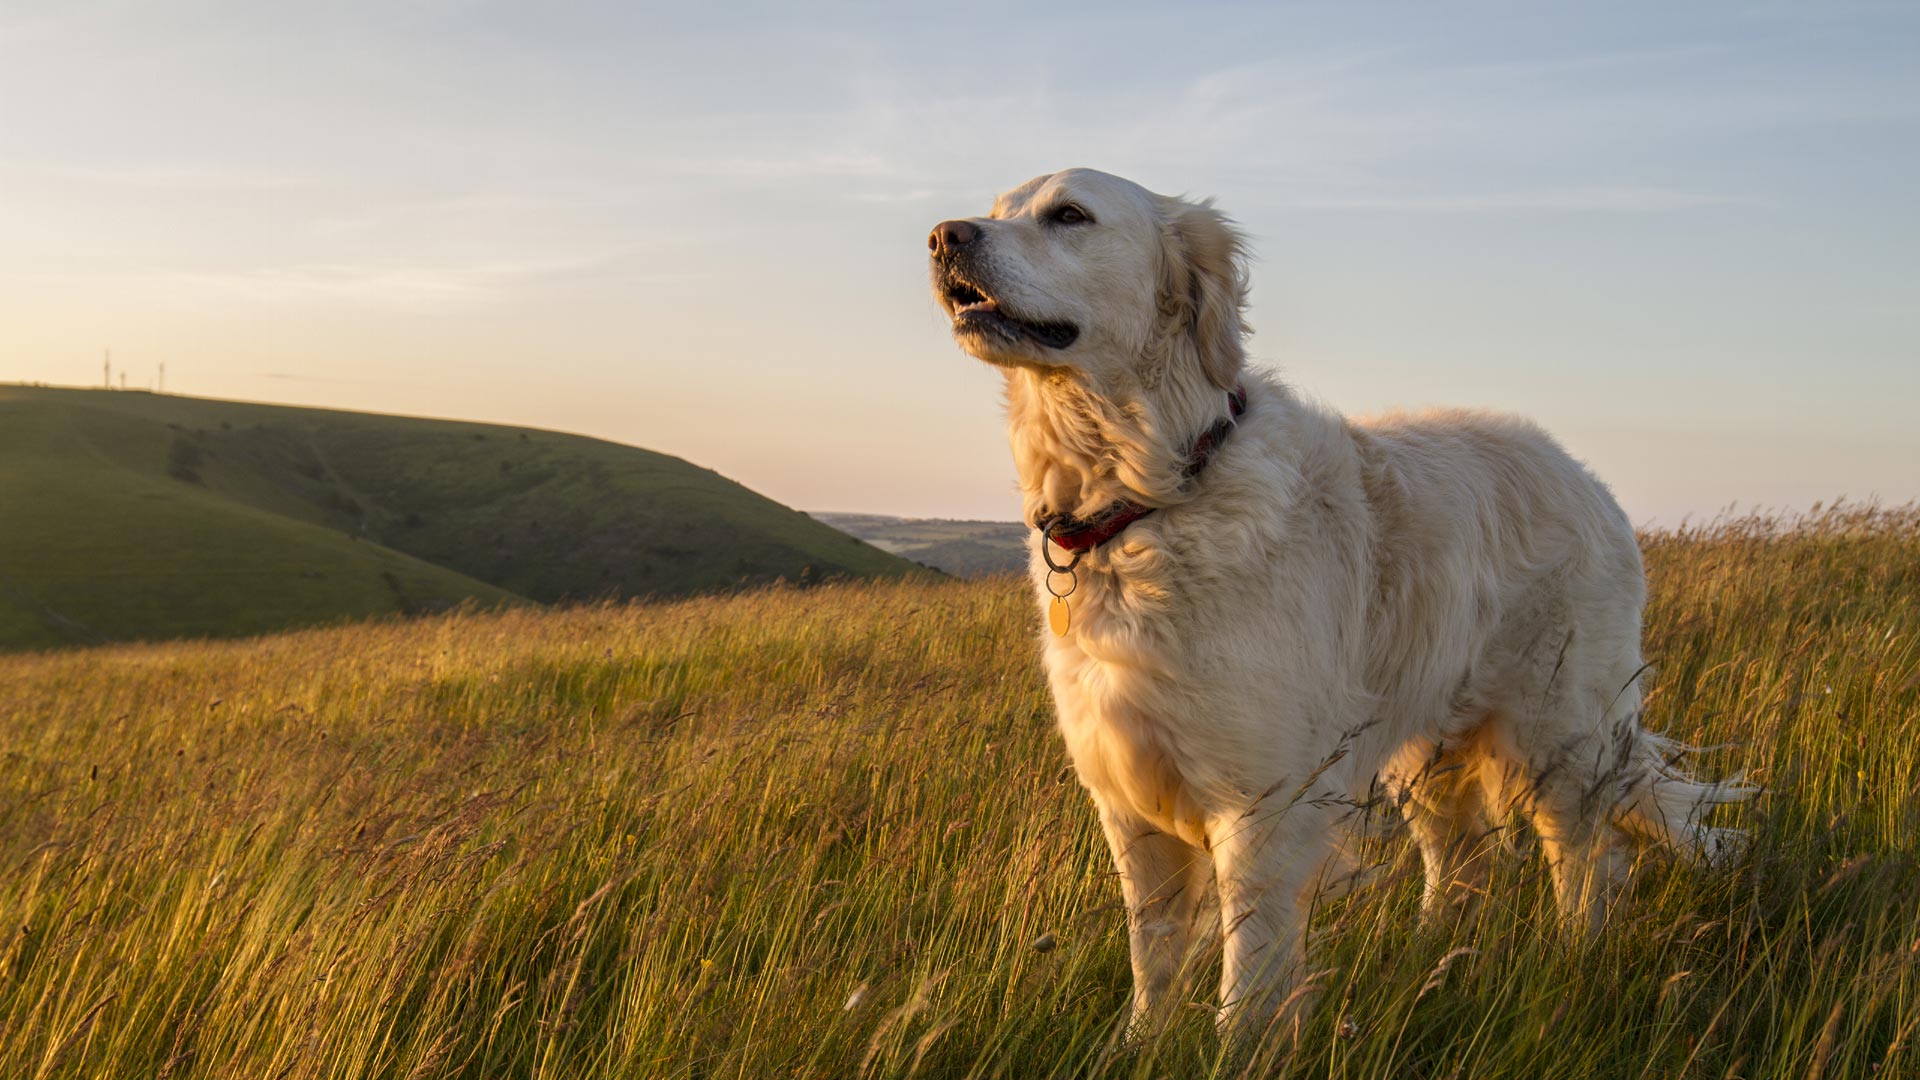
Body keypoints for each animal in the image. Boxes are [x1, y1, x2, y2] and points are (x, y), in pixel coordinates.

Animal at [921, 170, 1751, 1045]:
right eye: (997, 209)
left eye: (1070, 215)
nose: (944, 237)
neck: (1153, 491)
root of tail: (1585, 475)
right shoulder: (1127, 800)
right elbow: (1154, 953)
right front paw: (1139, 1044)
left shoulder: (1262, 802)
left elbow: (1248, 965)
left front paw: (1235, 1048)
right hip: (1427, 753)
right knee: (1463, 863)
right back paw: (1428, 966)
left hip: (1557, 733)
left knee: (1586, 856)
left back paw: (1573, 962)